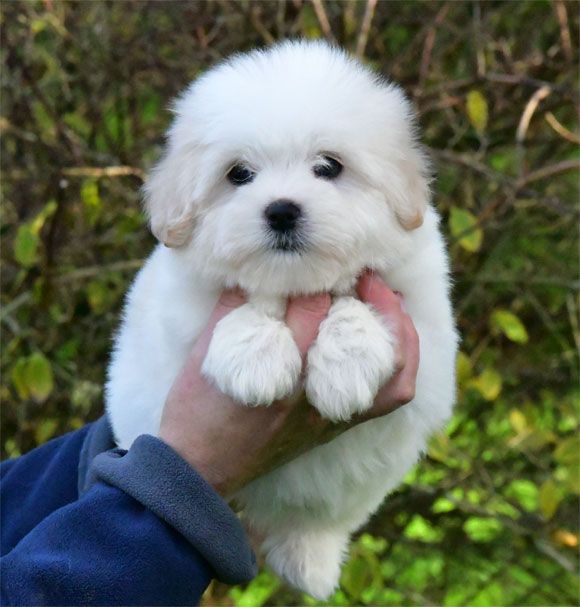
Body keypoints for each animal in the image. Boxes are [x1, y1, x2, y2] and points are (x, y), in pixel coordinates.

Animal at [104, 40, 458, 600]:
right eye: (238, 174)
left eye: (329, 166)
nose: (282, 211)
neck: (297, 283)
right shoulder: (179, 309)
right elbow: (245, 304)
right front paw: (257, 363)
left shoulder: (423, 314)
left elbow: (353, 303)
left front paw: (347, 364)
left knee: (323, 519)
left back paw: (310, 561)